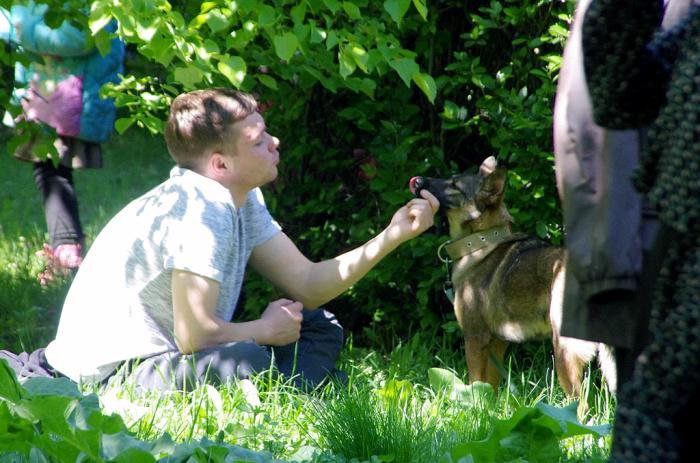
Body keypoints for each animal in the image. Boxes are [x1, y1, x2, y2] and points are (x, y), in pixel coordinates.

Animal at [412, 158, 616, 404]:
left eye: (455, 185)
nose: (417, 180)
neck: (480, 243)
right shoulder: (497, 343)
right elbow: (489, 387)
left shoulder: (475, 338)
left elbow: (475, 383)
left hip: (564, 352)